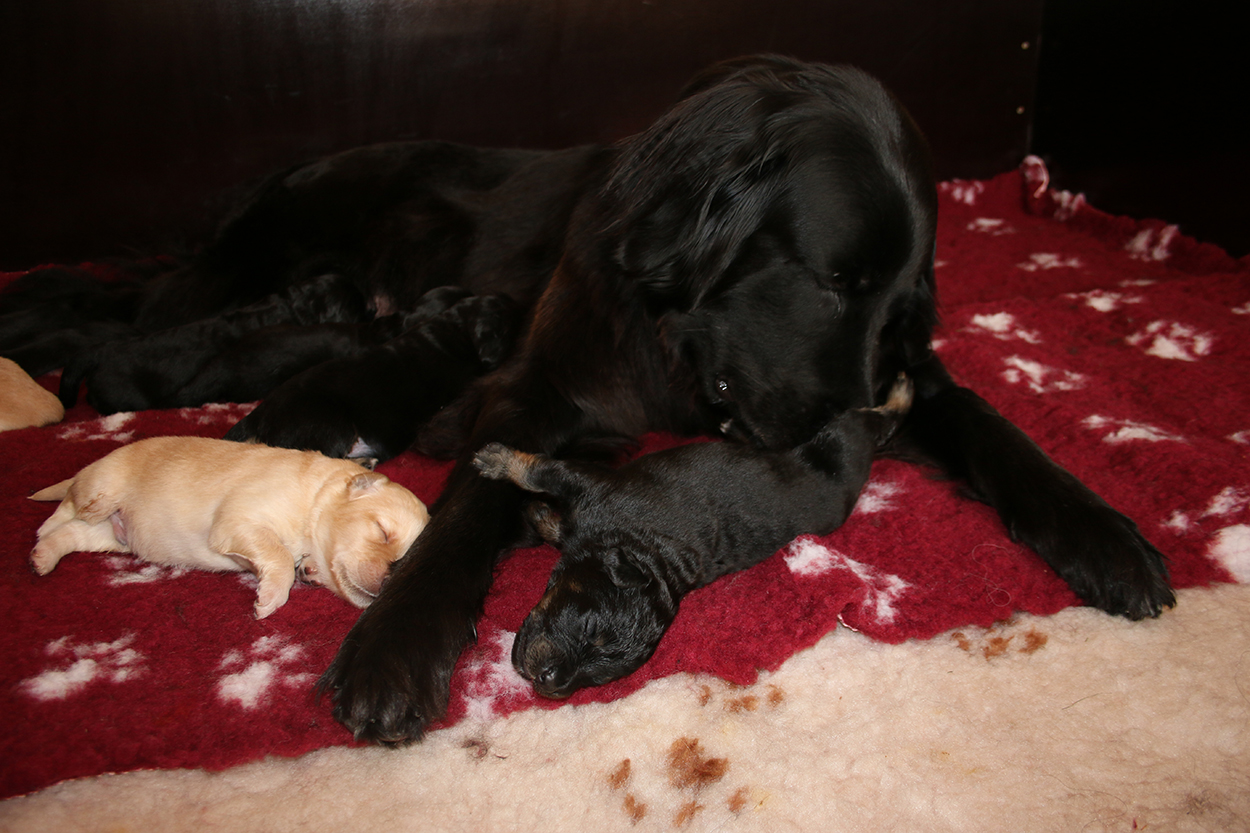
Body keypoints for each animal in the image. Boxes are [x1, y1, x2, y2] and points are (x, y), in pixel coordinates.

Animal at [29, 436, 429, 618]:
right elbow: (278, 557)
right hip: (103, 487)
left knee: (71, 533)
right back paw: (44, 527)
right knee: (69, 505)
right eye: (382, 531)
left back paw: (42, 558)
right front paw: (269, 599)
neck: (316, 498)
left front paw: (309, 572)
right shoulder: (238, 520)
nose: (387, 581)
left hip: (113, 535)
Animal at [473, 374, 912, 698]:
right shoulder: (594, 490)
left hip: (843, 442)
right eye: (588, 630)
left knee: (876, 419)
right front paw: (531, 500)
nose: (550, 682)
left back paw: (902, 391)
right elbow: (548, 487)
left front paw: (504, 467)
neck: (641, 549)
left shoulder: (595, 489)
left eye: (596, 677)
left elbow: (541, 471)